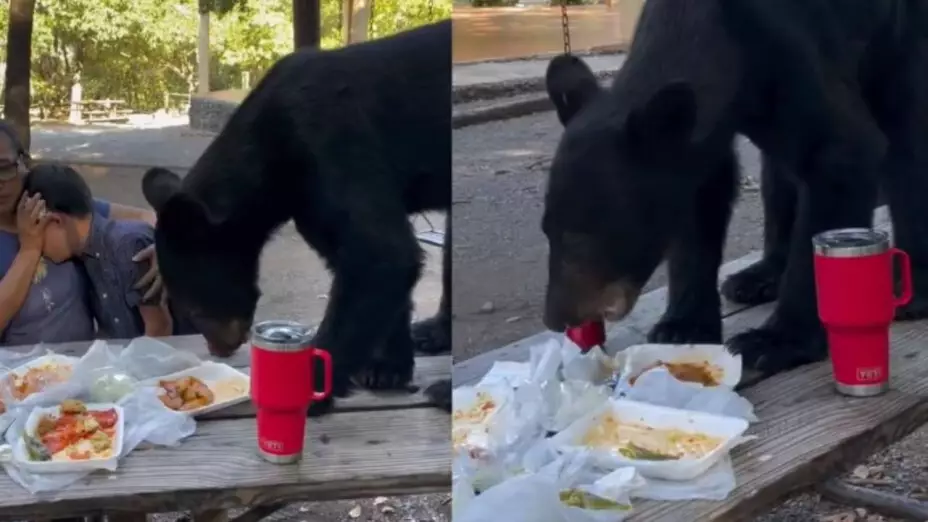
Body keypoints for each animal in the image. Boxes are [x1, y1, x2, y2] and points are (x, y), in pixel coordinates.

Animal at [141, 20, 451, 415]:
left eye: (193, 309)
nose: (218, 348)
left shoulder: (332, 140)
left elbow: (381, 254)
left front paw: (308, 389)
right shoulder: (309, 204)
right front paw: (386, 367)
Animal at [540, 0, 928, 379]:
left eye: (581, 237)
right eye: (547, 231)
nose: (556, 319)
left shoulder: (790, 53)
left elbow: (842, 153)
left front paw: (778, 341)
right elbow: (699, 209)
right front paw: (682, 326)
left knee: (906, 139)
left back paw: (913, 291)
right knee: (779, 174)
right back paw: (761, 275)